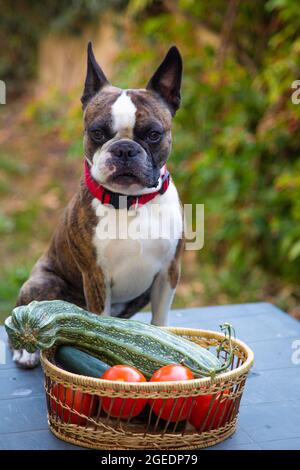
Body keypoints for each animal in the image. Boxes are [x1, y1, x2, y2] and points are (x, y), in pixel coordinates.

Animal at [12, 43, 184, 368]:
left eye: (153, 134)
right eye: (97, 133)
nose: (125, 149)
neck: (131, 203)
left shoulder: (167, 273)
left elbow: (160, 320)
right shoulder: (95, 276)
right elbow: (99, 321)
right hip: (42, 283)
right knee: (24, 313)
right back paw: (27, 350)